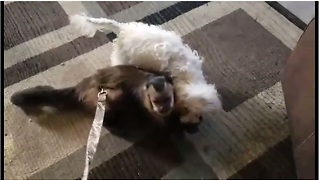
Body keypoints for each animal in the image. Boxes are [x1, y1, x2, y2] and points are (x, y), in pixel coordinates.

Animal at [11, 65, 201, 133]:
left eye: (167, 99)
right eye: (157, 102)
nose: (163, 109)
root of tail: (79, 87)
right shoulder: (147, 103)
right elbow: (166, 127)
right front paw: (184, 124)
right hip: (95, 96)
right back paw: (113, 123)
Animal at [69, 13, 221, 124]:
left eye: (199, 113)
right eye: (188, 110)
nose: (195, 121)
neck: (188, 76)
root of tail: (123, 29)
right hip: (123, 58)